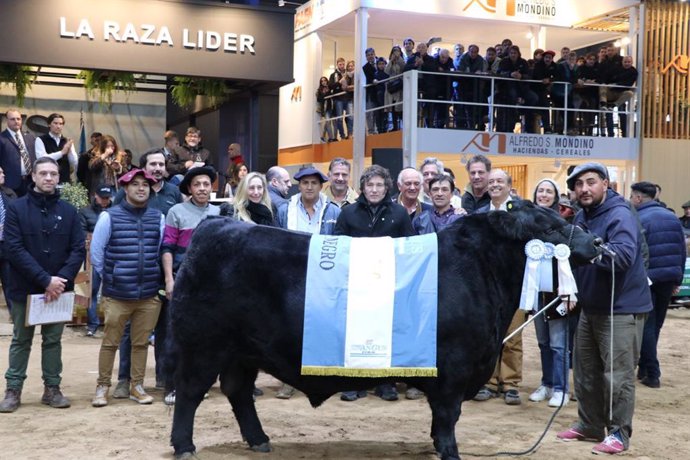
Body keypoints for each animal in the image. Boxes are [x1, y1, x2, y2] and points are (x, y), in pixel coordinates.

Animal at [167, 203, 596, 458]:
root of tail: (216, 224)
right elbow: (448, 416)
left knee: (238, 393)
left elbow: (443, 418)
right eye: (549, 227)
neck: (481, 268)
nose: (594, 241)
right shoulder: (454, 369)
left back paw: (259, 440)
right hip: (204, 345)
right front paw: (449, 451)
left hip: (242, 352)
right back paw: (185, 445)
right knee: (190, 393)